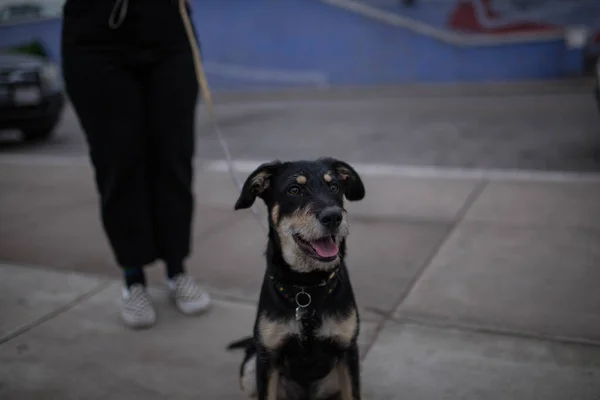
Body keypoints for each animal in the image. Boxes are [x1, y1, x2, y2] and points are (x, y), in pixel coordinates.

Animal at [226, 158, 364, 398]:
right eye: (294, 190)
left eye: (334, 187)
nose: (333, 217)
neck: (307, 289)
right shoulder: (267, 357)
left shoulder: (348, 351)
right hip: (250, 369)